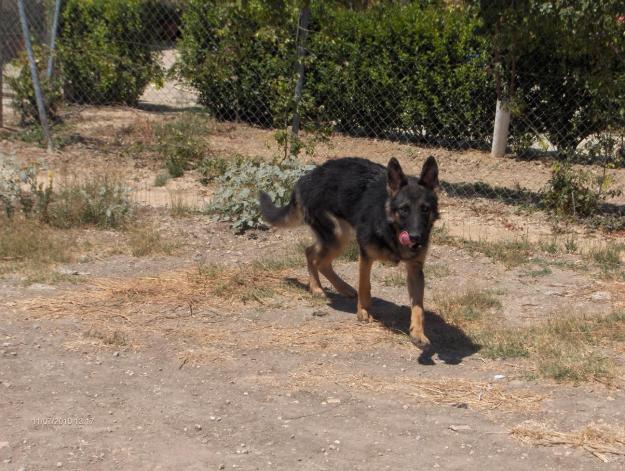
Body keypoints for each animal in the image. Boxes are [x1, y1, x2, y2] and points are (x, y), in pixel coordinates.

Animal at [258, 157, 438, 348]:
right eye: (404, 209)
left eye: (425, 209)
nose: (416, 238)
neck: (388, 224)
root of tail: (306, 178)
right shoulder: (366, 255)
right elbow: (364, 285)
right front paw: (363, 311)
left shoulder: (415, 270)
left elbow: (418, 306)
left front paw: (418, 333)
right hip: (337, 236)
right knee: (311, 255)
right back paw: (316, 288)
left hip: (338, 238)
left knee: (318, 258)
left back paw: (342, 288)